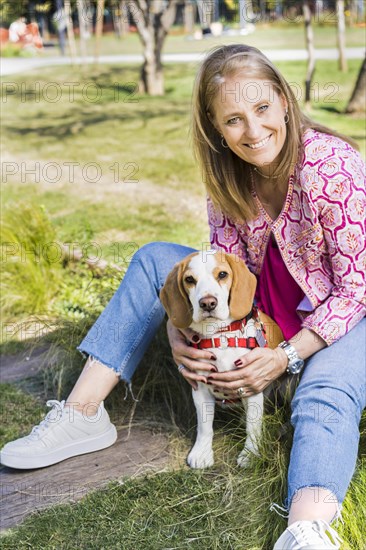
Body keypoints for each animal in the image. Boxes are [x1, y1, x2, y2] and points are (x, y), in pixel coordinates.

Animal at [160, 250, 284, 470]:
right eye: (189, 280)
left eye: (223, 275)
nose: (208, 303)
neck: (220, 335)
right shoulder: (200, 388)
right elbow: (204, 425)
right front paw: (202, 452)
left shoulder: (252, 386)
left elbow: (253, 426)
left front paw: (250, 453)